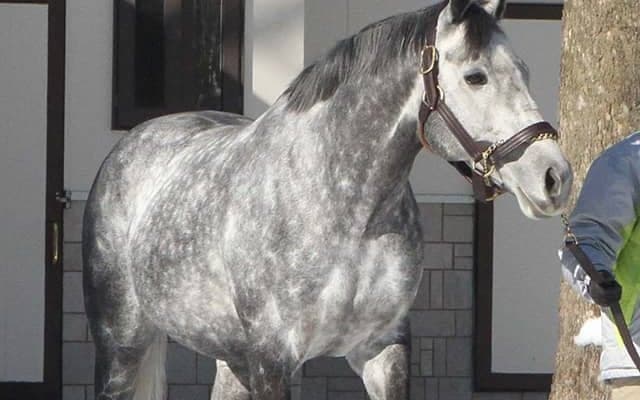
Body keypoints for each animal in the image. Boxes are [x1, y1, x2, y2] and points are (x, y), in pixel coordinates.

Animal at [82, 0, 572, 399]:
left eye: (524, 72)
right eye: (475, 77)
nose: (555, 177)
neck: (347, 213)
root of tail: (137, 139)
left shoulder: (382, 349)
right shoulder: (273, 359)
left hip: (230, 357)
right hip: (120, 346)